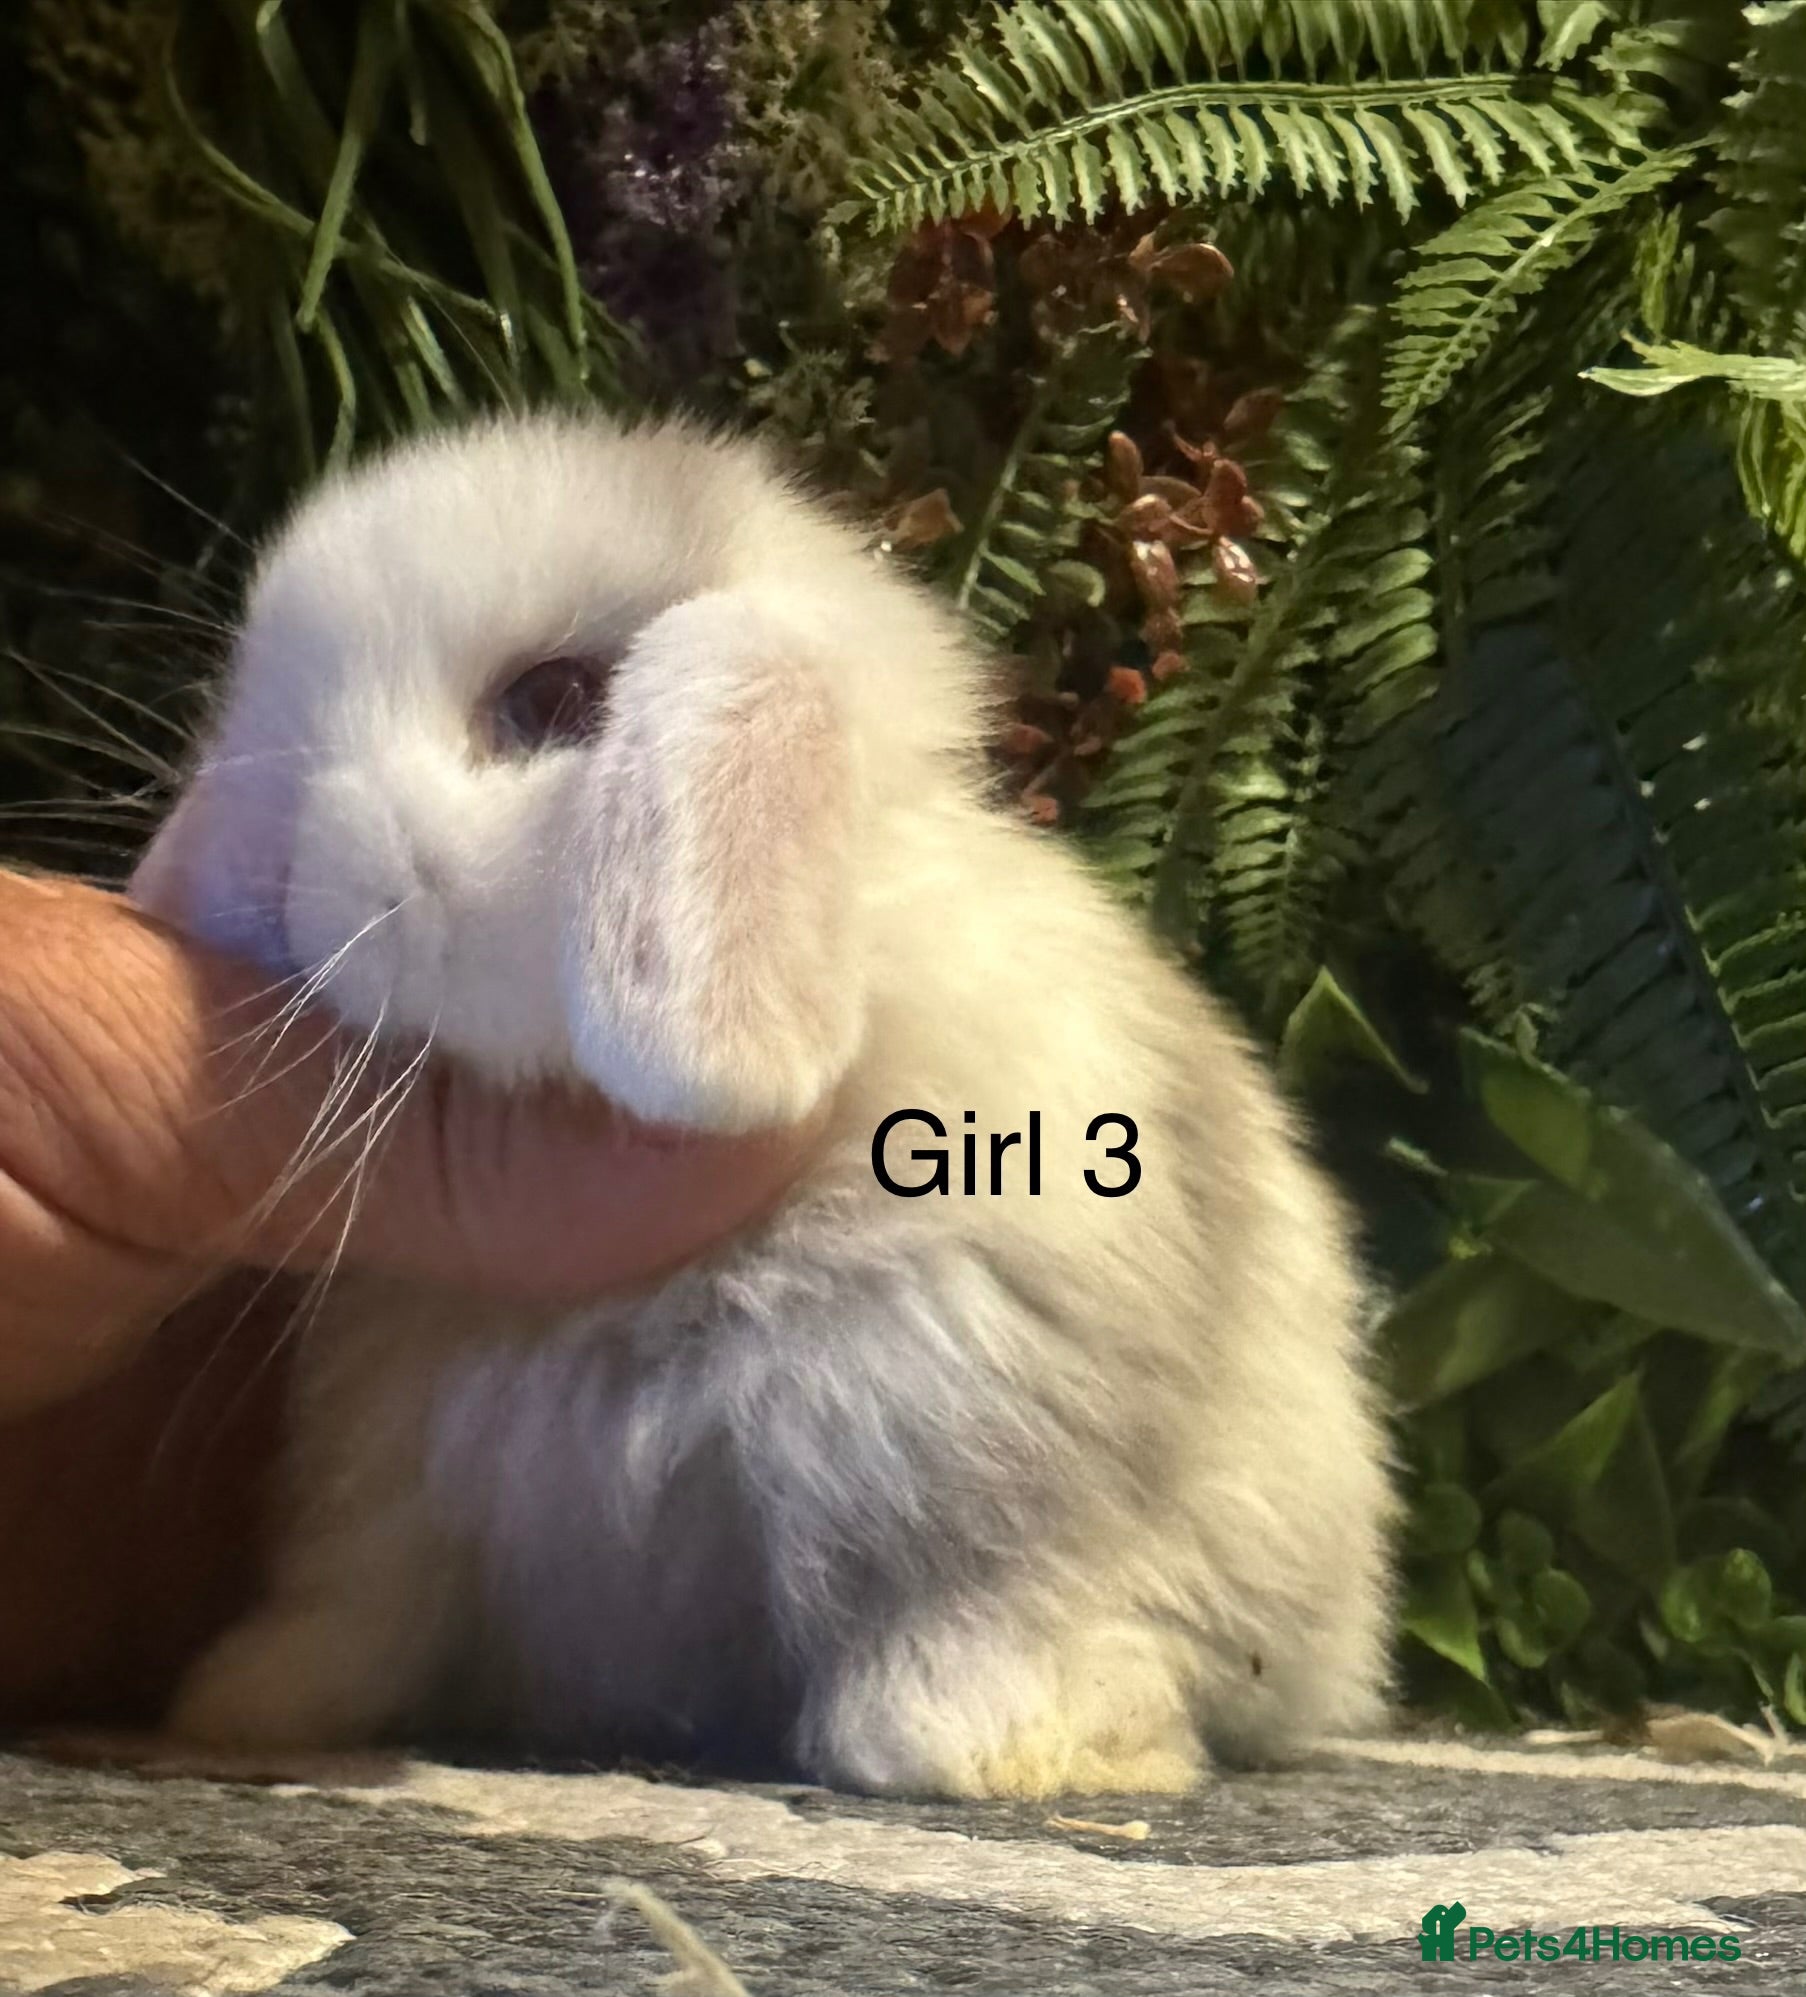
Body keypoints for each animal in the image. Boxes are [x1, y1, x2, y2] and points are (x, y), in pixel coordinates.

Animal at [129, 410, 1395, 1799]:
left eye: (549, 700)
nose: (254, 868)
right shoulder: (392, 1475)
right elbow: (357, 1608)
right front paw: (242, 1703)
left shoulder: (979, 1445)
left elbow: (982, 1595)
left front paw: (989, 1740)